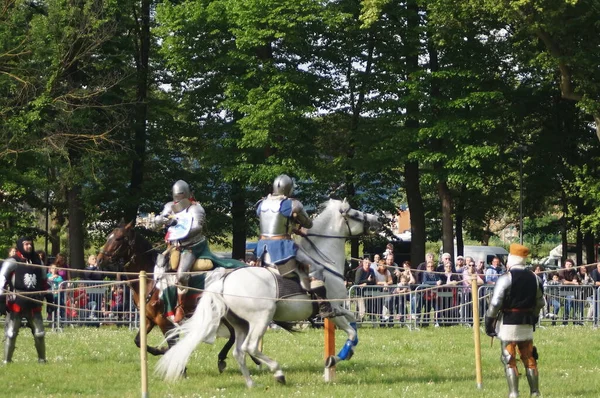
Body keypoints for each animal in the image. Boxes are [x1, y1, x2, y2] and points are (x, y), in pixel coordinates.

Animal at [96, 222, 237, 372]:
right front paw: (162, 351)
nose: (99, 260)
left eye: (118, 238)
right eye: (108, 236)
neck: (150, 279)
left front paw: (180, 369)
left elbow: (171, 342)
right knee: (234, 333)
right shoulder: (149, 319)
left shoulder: (163, 319)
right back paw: (223, 358)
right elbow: (139, 341)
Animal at [155, 198, 380, 386]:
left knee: (239, 352)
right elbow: (351, 331)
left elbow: (353, 322)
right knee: (251, 347)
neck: (324, 261)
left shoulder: (340, 309)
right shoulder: (332, 309)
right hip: (260, 319)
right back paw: (277, 372)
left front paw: (346, 352)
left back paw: (250, 383)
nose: (376, 220)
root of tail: (223, 282)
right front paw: (334, 358)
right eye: (355, 214)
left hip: (240, 323)